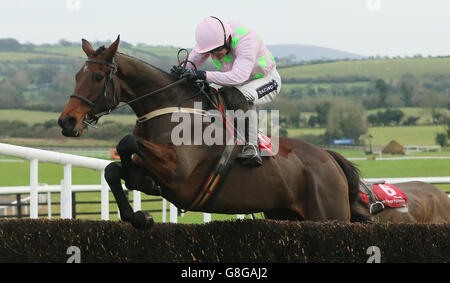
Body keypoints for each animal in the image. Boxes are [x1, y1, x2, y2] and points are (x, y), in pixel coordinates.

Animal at [58, 36, 366, 230]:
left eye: (98, 77)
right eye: (76, 76)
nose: (66, 121)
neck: (169, 107)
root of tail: (329, 157)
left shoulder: (178, 171)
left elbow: (127, 141)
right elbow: (113, 169)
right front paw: (139, 214)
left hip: (328, 215)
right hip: (287, 215)